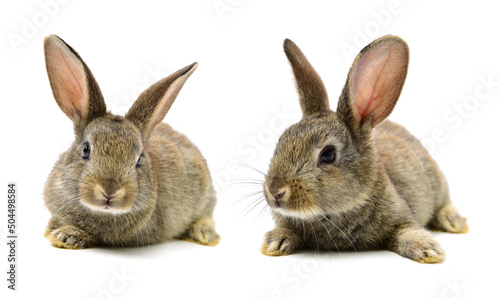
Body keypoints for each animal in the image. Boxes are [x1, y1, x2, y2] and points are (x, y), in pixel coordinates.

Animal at [40, 35, 217, 249]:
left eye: (139, 159)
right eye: (86, 149)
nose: (110, 191)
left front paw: (67, 236)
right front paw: (58, 233)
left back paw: (203, 234)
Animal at [262, 34, 468, 264]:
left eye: (328, 155)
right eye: (281, 141)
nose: (275, 192)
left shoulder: (402, 214)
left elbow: (407, 230)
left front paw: (428, 251)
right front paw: (276, 242)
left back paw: (453, 221)